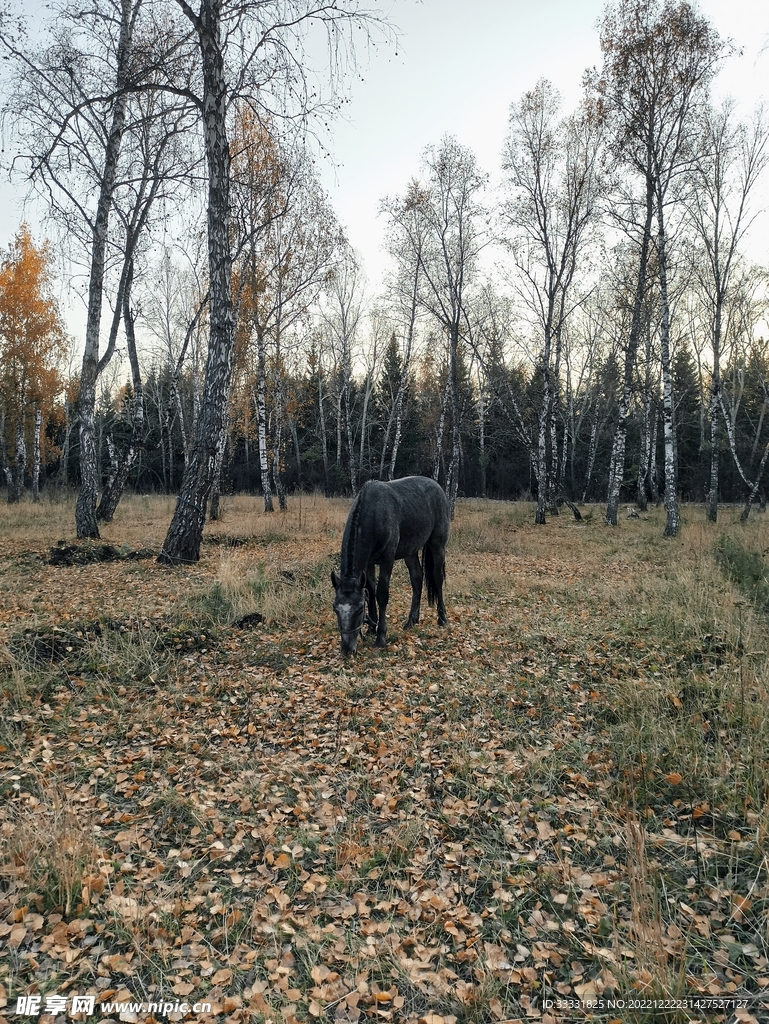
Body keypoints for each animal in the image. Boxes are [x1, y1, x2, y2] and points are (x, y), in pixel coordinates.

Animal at [331, 476, 450, 655]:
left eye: (359, 610)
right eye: (335, 609)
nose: (347, 650)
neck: (374, 513)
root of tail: (437, 487)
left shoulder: (387, 559)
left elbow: (381, 594)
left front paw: (380, 636)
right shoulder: (369, 563)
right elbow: (370, 591)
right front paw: (371, 629)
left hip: (437, 545)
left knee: (437, 578)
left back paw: (442, 619)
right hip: (410, 551)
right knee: (417, 578)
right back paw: (411, 621)